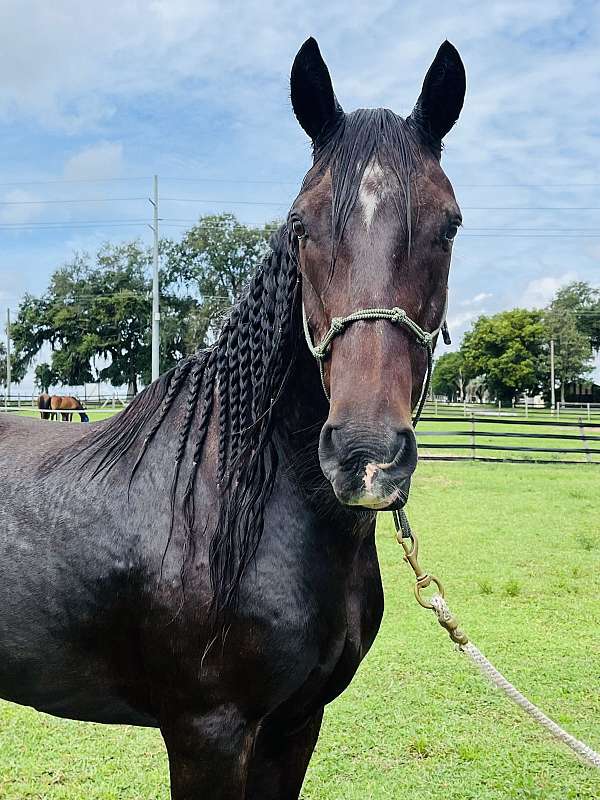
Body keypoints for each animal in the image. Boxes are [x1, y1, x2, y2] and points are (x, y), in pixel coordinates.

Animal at [0, 39, 464, 800]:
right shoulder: (207, 734)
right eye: (302, 224)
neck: (239, 500)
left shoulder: (296, 724)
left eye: (448, 225)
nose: (365, 455)